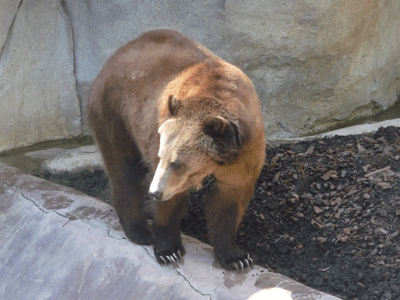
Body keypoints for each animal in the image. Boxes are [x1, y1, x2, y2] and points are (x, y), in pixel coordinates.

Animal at [87, 29, 266, 270]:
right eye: (162, 156)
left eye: (178, 163)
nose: (155, 191)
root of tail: (117, 53)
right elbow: (171, 203)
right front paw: (168, 250)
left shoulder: (245, 153)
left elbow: (229, 202)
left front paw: (237, 257)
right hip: (113, 112)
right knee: (124, 169)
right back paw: (139, 230)